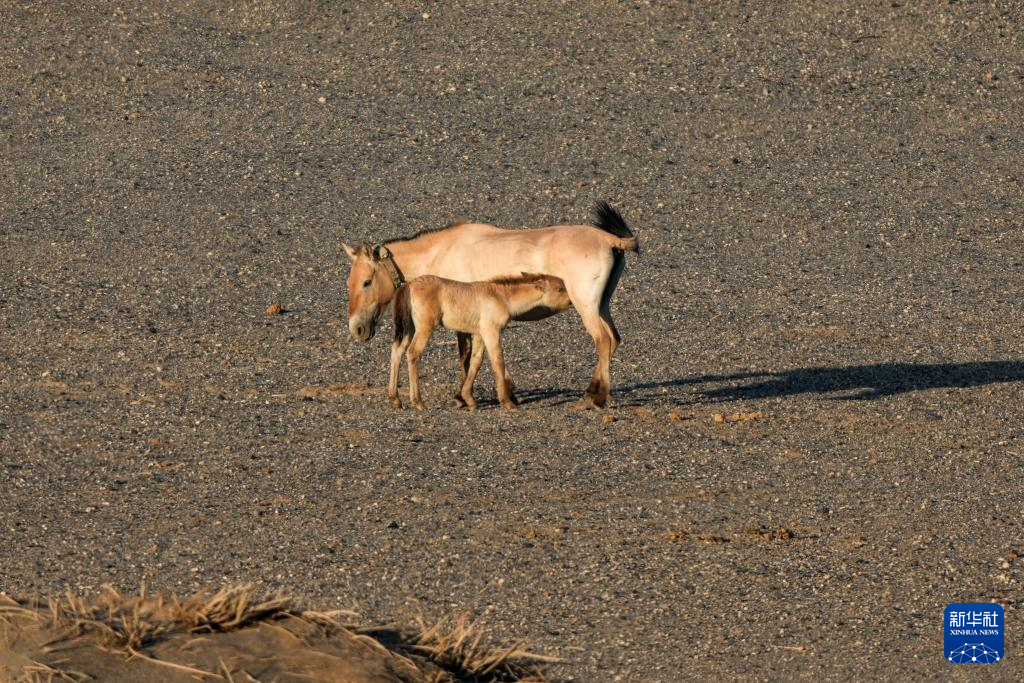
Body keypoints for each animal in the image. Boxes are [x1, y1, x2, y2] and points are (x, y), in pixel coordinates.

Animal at [388, 274, 572, 410]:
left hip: (409, 328)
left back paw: (395, 399)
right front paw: (507, 401)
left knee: (397, 350)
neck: (502, 297)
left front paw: (468, 399)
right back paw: (418, 402)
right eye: (560, 289)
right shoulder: (491, 331)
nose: (571, 301)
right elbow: (497, 361)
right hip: (425, 327)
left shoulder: (479, 334)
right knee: (413, 353)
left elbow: (476, 362)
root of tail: (408, 285)